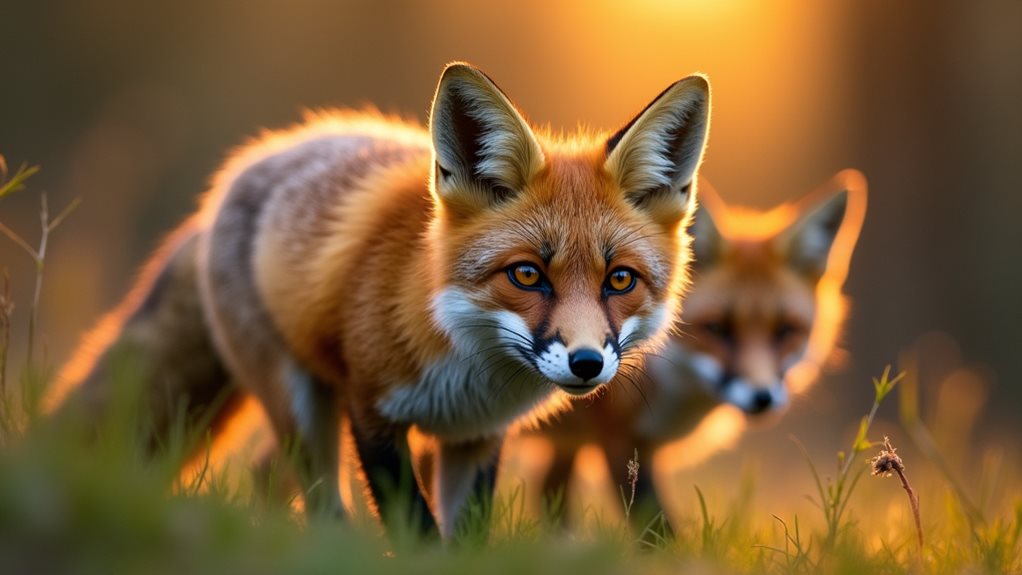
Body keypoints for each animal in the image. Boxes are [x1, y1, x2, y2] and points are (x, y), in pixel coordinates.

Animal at [47, 62, 712, 538]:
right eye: (526, 275)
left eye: (619, 281)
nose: (587, 363)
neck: (464, 363)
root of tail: (231, 181)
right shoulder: (371, 414)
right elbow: (415, 530)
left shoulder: (477, 439)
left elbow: (465, 538)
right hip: (300, 402)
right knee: (319, 499)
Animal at [532, 169, 867, 527]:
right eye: (717, 328)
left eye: (784, 331)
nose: (762, 398)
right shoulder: (618, 438)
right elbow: (656, 524)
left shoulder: (581, 443)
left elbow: (552, 501)